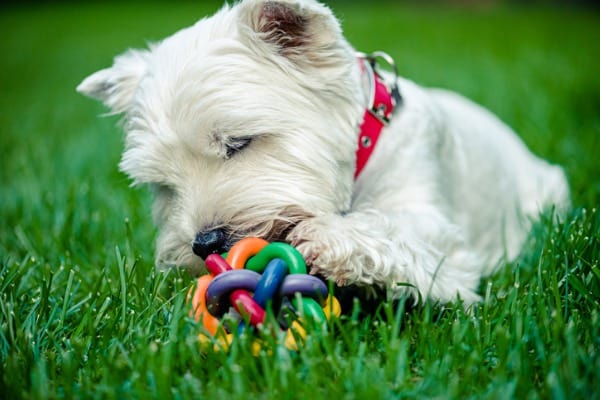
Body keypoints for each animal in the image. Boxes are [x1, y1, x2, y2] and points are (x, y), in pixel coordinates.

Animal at [77, 0, 568, 304]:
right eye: (163, 184)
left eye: (238, 143)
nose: (205, 244)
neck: (363, 151)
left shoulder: (442, 235)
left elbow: (397, 231)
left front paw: (329, 238)